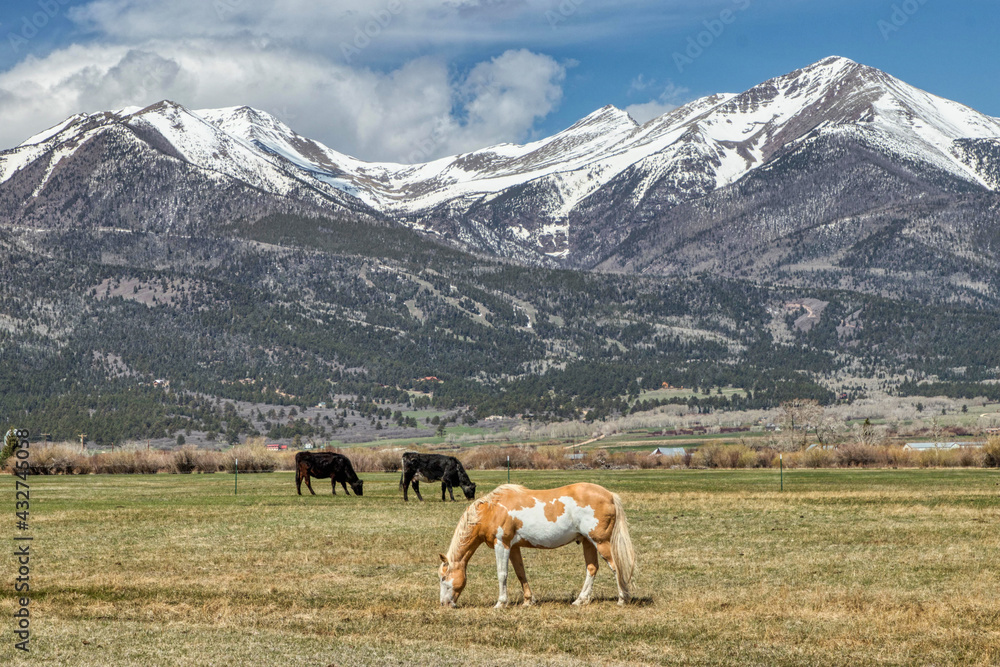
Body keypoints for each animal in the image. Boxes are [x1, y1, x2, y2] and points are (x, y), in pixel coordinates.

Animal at [436, 482, 632, 608]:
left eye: (443, 578)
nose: (444, 604)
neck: (491, 510)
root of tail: (610, 496)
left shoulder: (502, 545)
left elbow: (502, 574)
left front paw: (501, 603)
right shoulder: (514, 547)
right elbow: (520, 573)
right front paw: (528, 601)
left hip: (601, 543)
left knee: (616, 567)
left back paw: (622, 599)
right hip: (588, 542)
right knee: (592, 569)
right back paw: (580, 600)